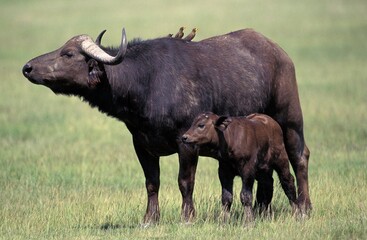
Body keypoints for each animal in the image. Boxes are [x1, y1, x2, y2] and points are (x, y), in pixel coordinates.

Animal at [21, 27, 312, 223]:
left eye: (68, 53)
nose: (28, 67)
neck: (146, 82)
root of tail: (281, 55)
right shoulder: (141, 145)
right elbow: (152, 182)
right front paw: (150, 218)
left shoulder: (186, 144)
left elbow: (185, 181)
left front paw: (187, 216)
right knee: (266, 175)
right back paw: (264, 211)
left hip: (290, 121)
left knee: (300, 157)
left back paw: (305, 207)